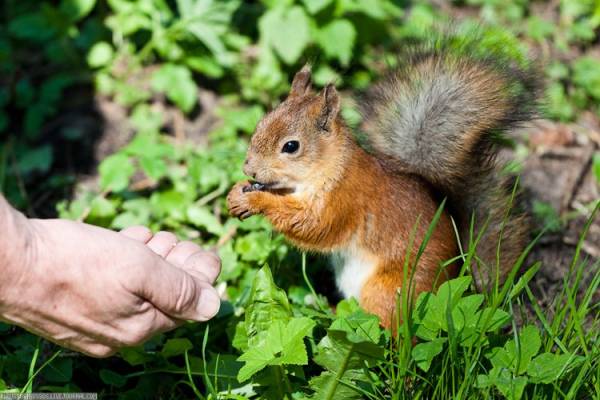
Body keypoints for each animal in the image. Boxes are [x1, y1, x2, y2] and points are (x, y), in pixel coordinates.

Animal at [226, 36, 540, 328]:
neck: (327, 167)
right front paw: (236, 193)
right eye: (261, 123)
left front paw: (255, 200)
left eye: (291, 146)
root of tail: (458, 281)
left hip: (389, 292)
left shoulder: (345, 200)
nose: (248, 168)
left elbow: (313, 226)